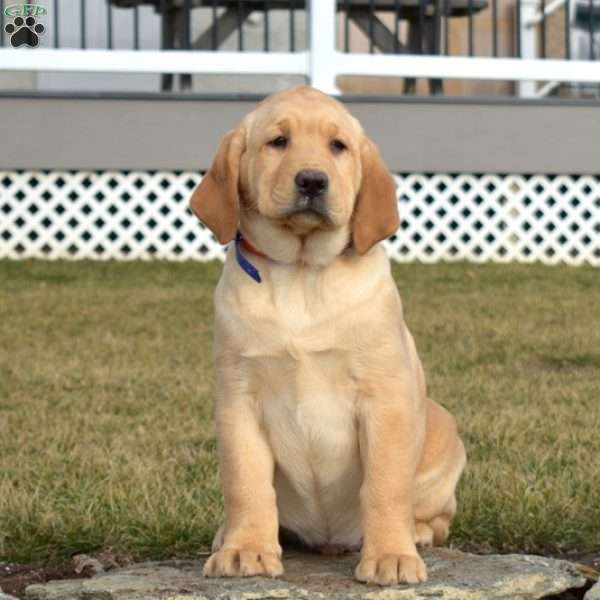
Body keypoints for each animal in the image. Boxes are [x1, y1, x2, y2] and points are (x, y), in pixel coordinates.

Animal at [190, 86, 466, 584]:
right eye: (277, 141)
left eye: (338, 146)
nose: (313, 181)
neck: (302, 272)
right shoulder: (238, 399)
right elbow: (246, 483)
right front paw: (246, 549)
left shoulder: (384, 398)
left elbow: (384, 485)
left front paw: (391, 555)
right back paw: (228, 534)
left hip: (444, 438)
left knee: (434, 518)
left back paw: (414, 534)